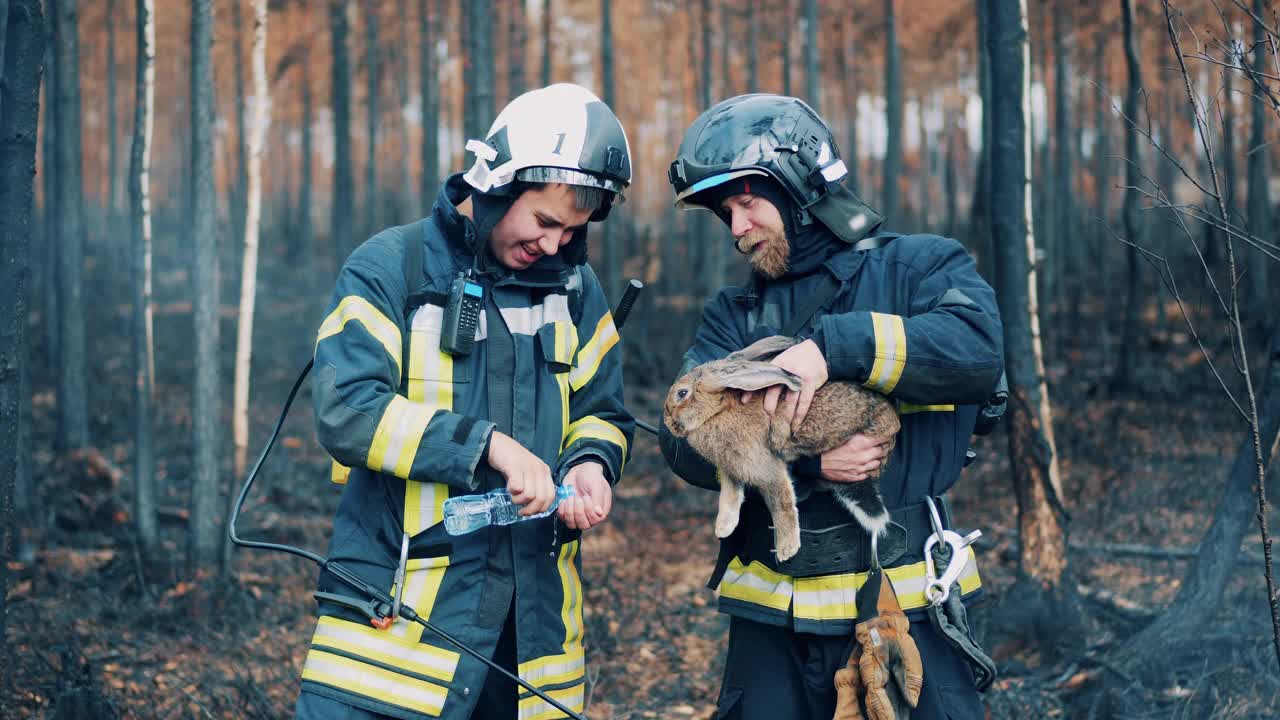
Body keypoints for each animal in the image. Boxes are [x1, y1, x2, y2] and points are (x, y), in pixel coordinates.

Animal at [665, 335, 896, 561]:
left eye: (682, 393)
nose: (667, 422)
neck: (718, 410)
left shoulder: (766, 467)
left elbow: (781, 503)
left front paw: (787, 548)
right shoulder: (731, 468)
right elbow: (730, 496)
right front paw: (724, 527)